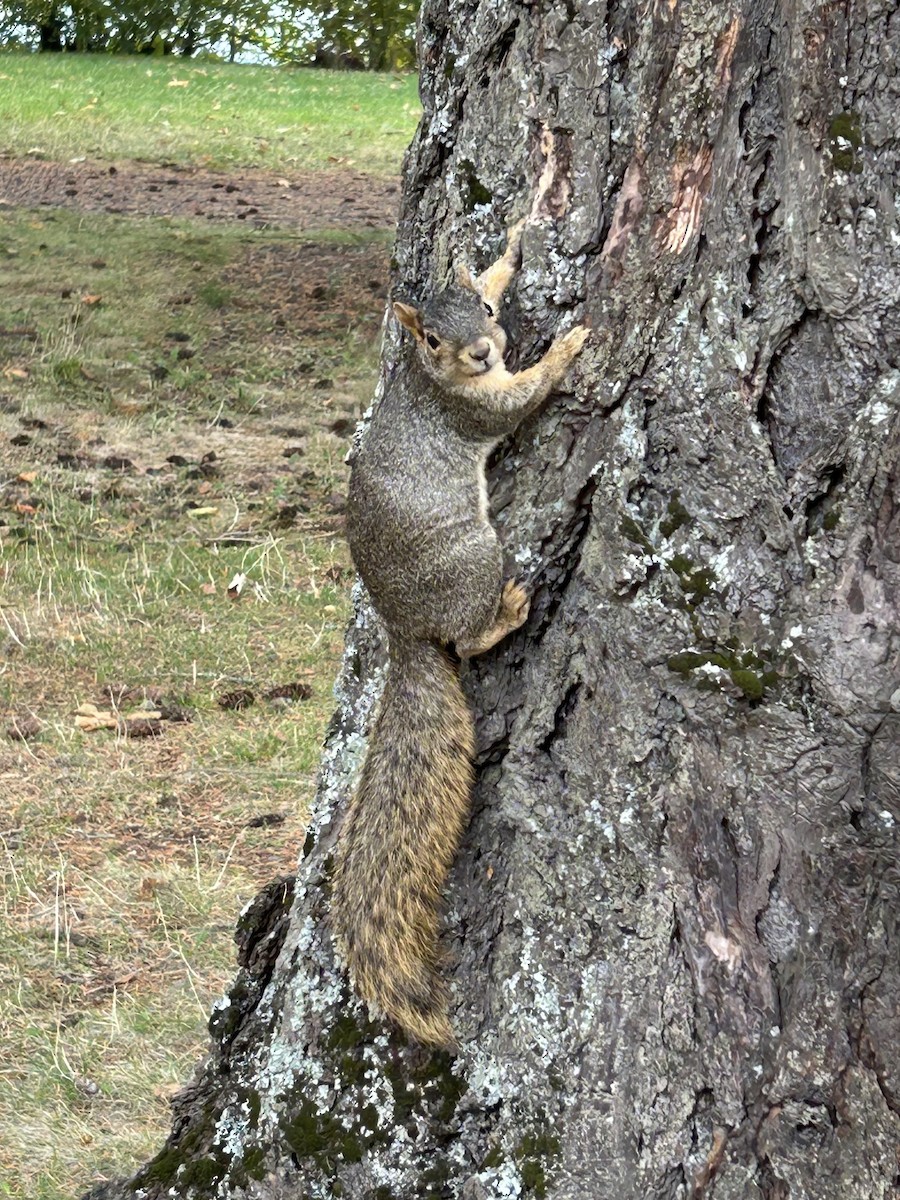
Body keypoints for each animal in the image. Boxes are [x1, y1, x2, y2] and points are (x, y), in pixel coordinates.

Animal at [331, 217, 590, 1047]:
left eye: (481, 307)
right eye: (434, 338)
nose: (481, 351)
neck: (428, 377)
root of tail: (406, 628)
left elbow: (502, 267)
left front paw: (513, 245)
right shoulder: (478, 409)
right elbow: (522, 399)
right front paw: (569, 349)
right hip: (475, 556)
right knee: (469, 640)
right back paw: (506, 613)